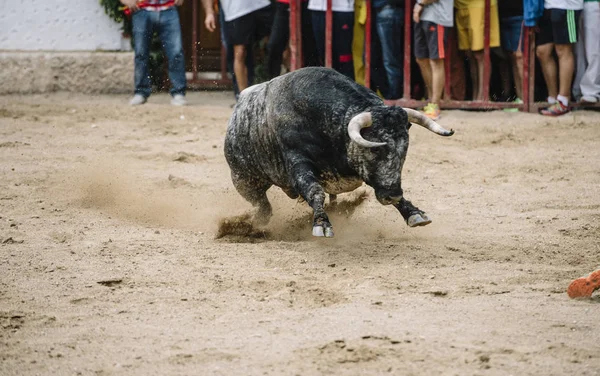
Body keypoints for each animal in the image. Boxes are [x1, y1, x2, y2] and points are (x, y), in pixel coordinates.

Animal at [225, 67, 454, 238]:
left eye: (403, 150)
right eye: (375, 149)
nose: (393, 194)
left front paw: (414, 213)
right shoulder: (298, 163)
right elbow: (315, 191)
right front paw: (321, 224)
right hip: (244, 180)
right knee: (263, 207)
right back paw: (251, 224)